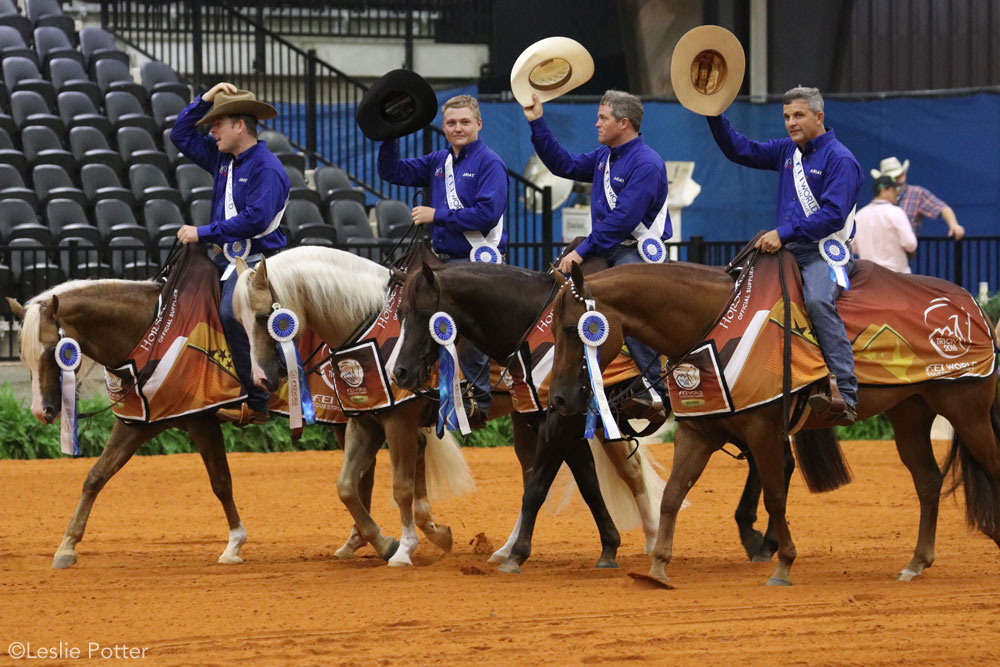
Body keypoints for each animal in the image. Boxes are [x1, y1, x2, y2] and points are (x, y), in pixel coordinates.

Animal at [231, 248, 656, 572]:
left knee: (630, 470)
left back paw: (652, 540)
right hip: (530, 419)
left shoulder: (399, 422)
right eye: (238, 321)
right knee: (539, 474)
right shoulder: (366, 422)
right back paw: (508, 549)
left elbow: (402, 487)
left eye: (265, 317)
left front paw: (405, 548)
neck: (369, 330)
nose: (262, 378)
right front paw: (393, 541)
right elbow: (348, 487)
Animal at [384, 258, 804, 572]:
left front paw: (516, 554)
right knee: (776, 462)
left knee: (773, 463)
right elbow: (585, 483)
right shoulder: (560, 421)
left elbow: (538, 486)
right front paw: (609, 546)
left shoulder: (560, 423)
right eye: (400, 313)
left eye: (425, 314)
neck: (531, 328)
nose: (399, 372)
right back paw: (762, 540)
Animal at [544, 258, 1000, 588]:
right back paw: (916, 563)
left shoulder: (763, 431)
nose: (559, 399)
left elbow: (776, 497)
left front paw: (783, 565)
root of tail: (973, 307)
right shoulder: (698, 432)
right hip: (909, 414)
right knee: (928, 481)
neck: (713, 325)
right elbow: (672, 494)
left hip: (969, 413)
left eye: (572, 329)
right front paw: (657, 568)